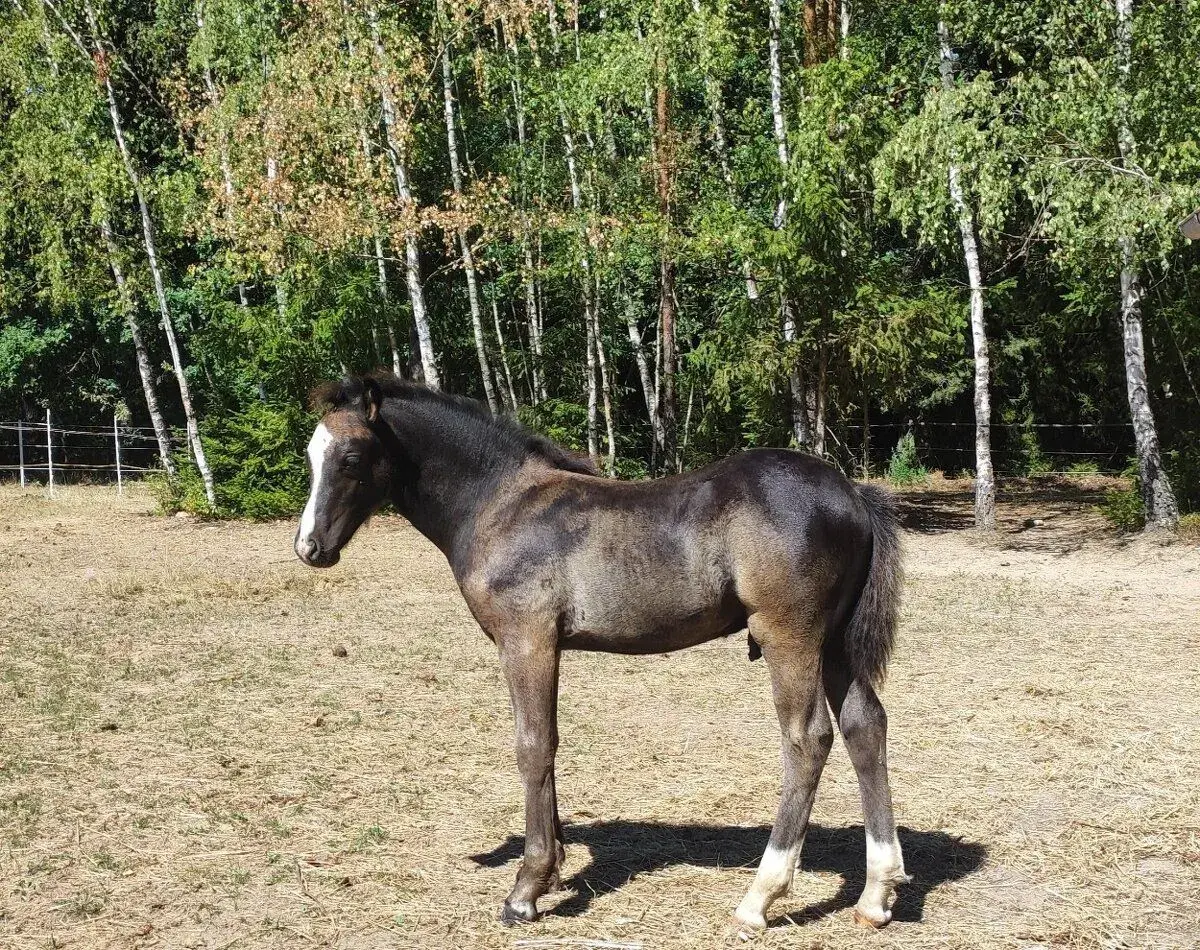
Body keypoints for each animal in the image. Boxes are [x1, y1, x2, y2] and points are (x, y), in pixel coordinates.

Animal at [293, 373, 909, 931]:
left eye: (351, 456)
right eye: (310, 455)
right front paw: (554, 868)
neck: (499, 504)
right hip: (835, 642)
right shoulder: (542, 645)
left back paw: (759, 899)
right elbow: (547, 743)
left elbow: (533, 745)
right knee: (865, 725)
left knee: (808, 738)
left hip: (790, 635)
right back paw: (875, 896)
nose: (309, 548)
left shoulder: (527, 639)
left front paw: (526, 889)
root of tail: (852, 494)